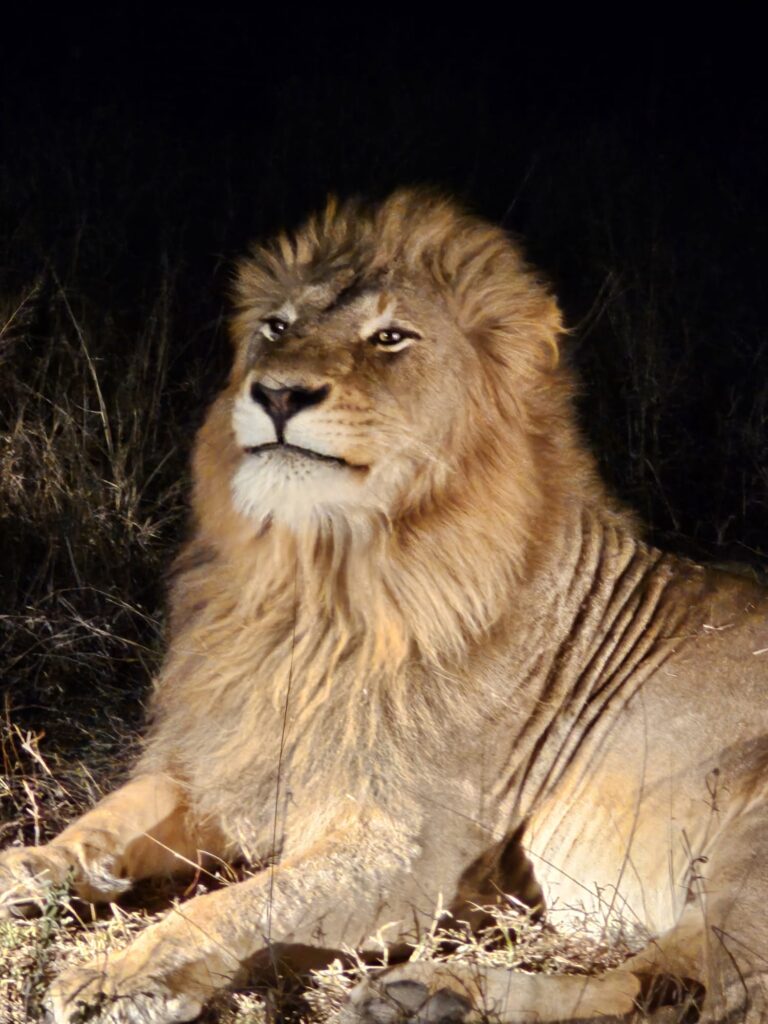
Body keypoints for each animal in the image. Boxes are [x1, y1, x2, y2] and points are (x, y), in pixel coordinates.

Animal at [1, 189, 767, 1024]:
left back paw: (432, 995)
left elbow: (235, 903)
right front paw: (23, 871)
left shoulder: (407, 851)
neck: (315, 585)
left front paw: (121, 976)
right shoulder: (230, 759)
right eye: (277, 327)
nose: (278, 393)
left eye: (390, 337)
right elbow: (106, 820)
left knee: (682, 990)